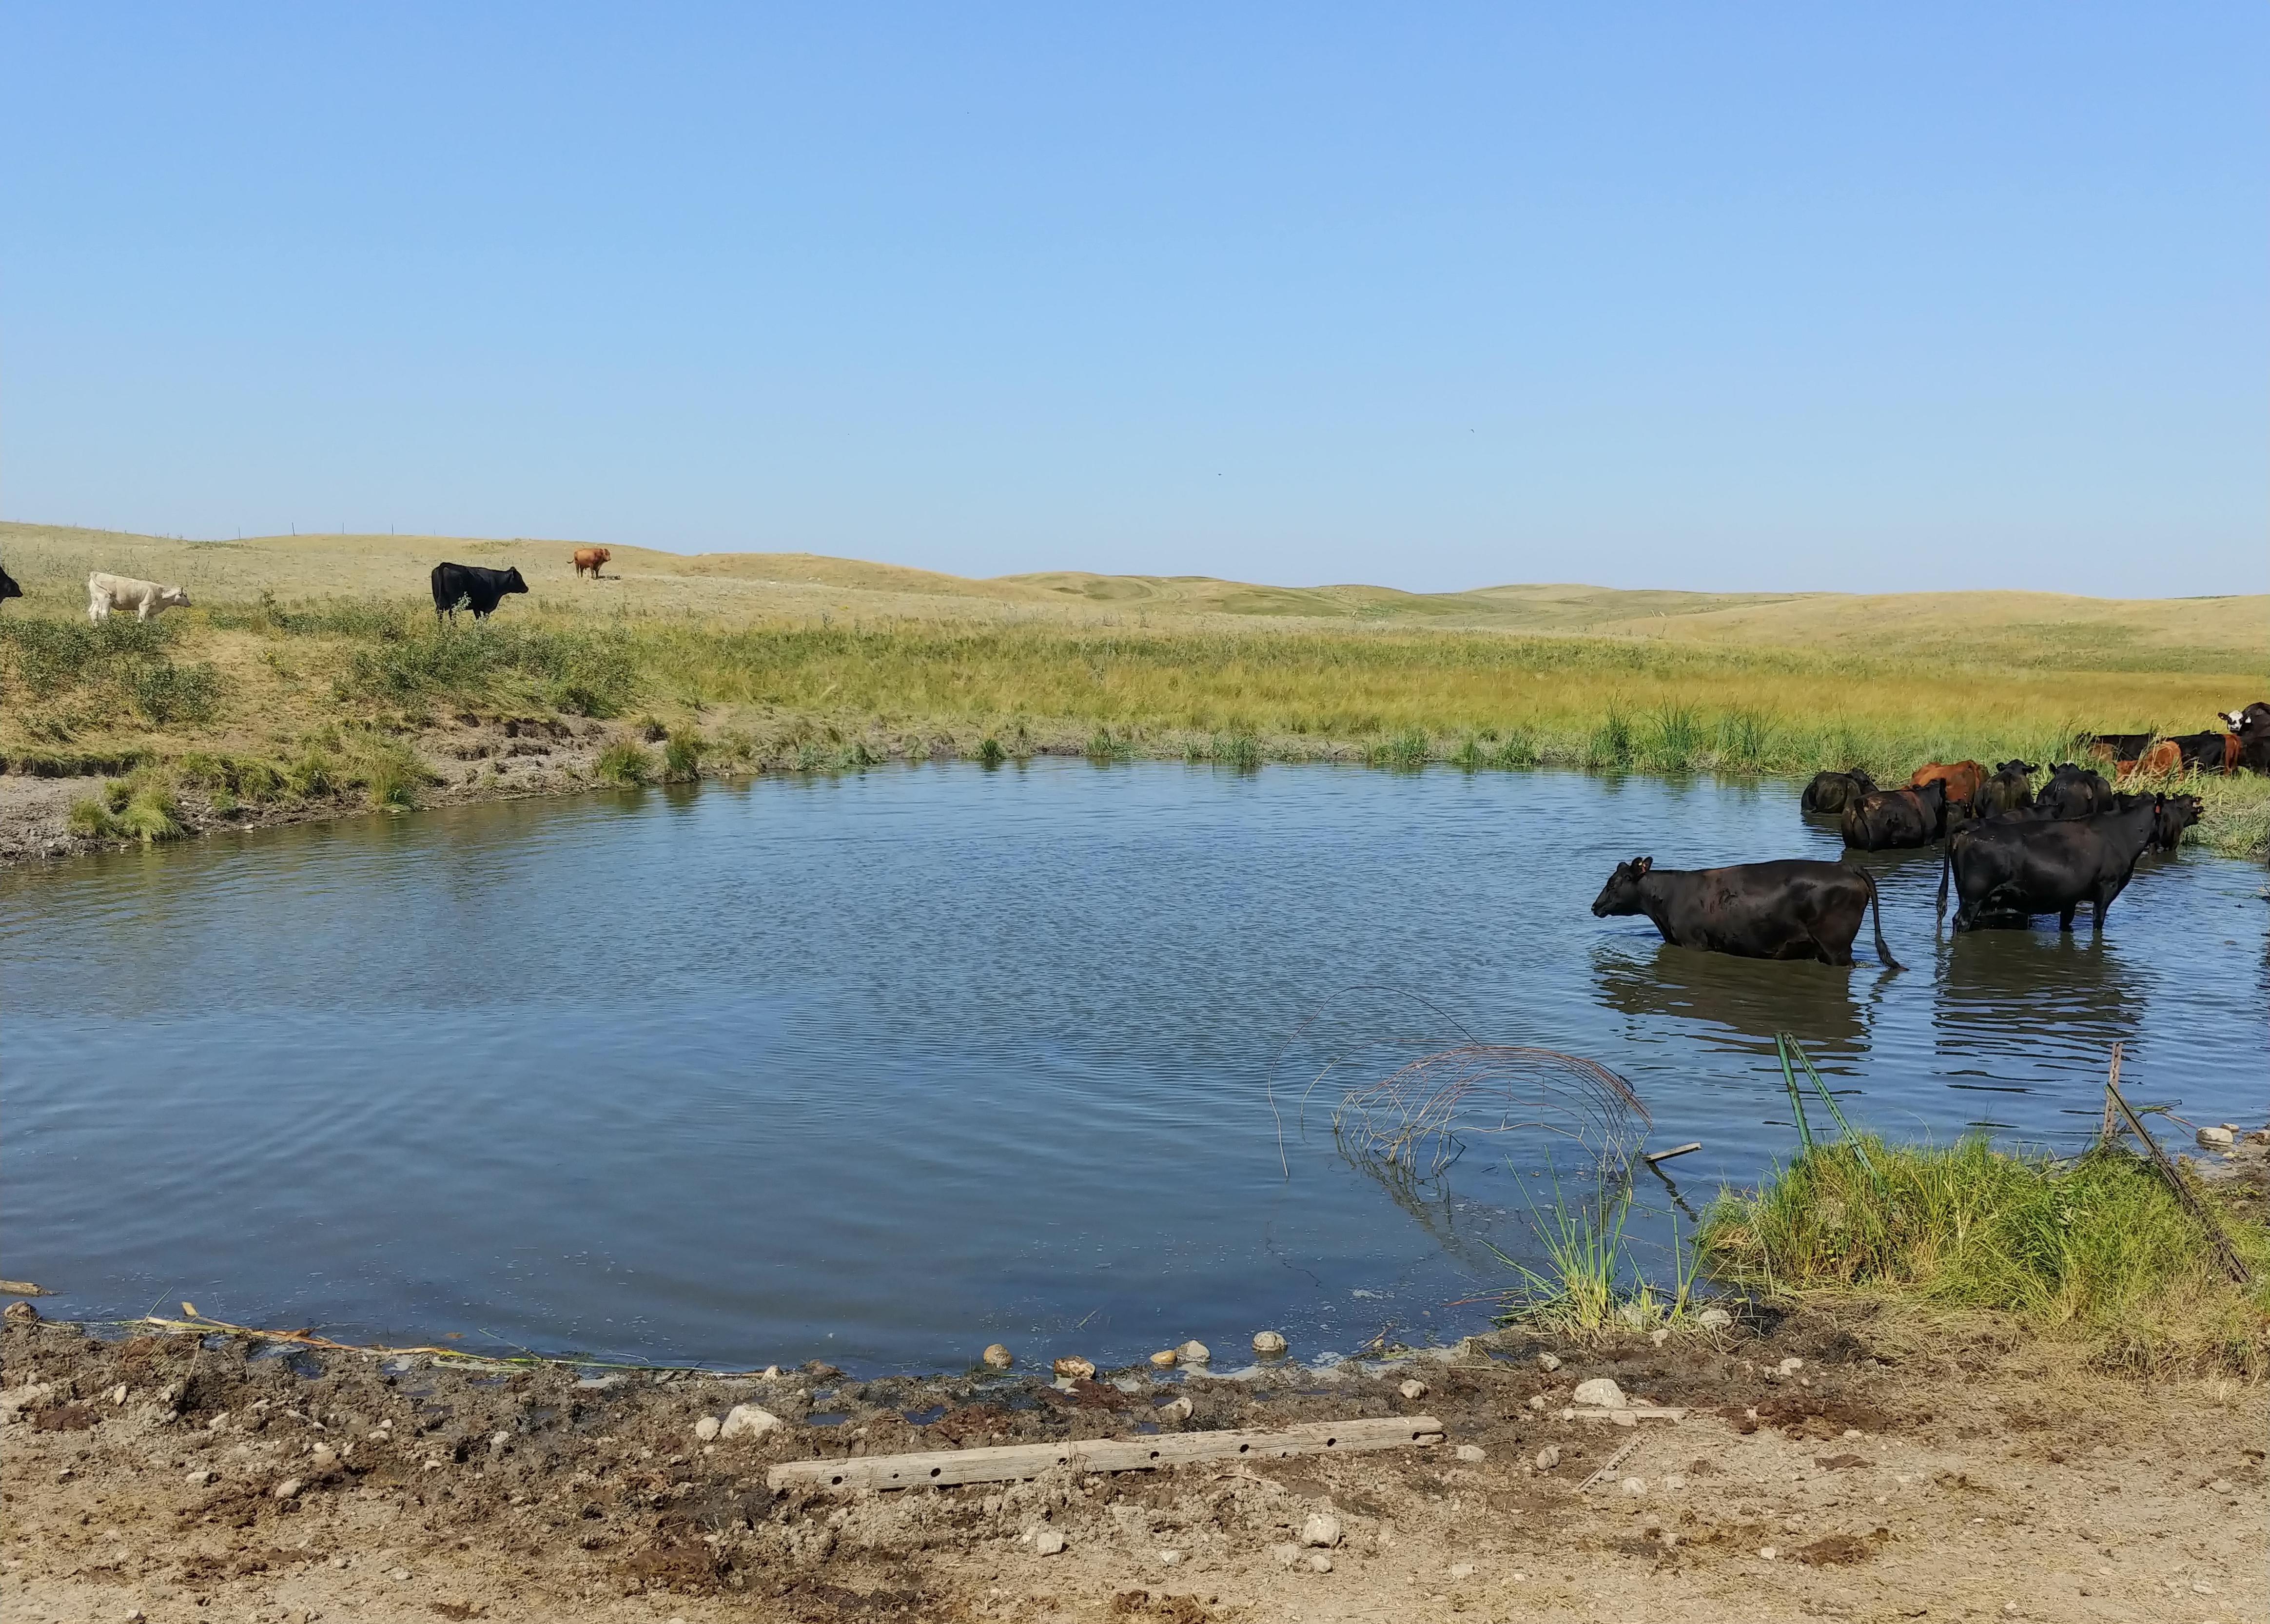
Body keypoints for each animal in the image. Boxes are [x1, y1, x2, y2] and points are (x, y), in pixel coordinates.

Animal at [87, 571, 191, 623]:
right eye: (185, 595)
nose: (190, 604)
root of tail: (98, 573)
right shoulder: (144, 606)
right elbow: (142, 618)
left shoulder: (151, 612)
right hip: (105, 599)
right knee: (104, 613)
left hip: (96, 600)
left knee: (93, 612)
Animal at [430, 562, 529, 621]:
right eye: (519, 578)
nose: (527, 588)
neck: (497, 581)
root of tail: (444, 565)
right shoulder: (488, 609)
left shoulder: (476, 607)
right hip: (454, 603)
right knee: (452, 614)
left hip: (439, 602)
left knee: (440, 616)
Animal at [1937, 795, 2165, 933]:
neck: (2123, 834)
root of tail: (1971, 825)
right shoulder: (2107, 887)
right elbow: (2098, 923)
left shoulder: (2069, 899)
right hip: (1973, 897)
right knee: (1960, 922)